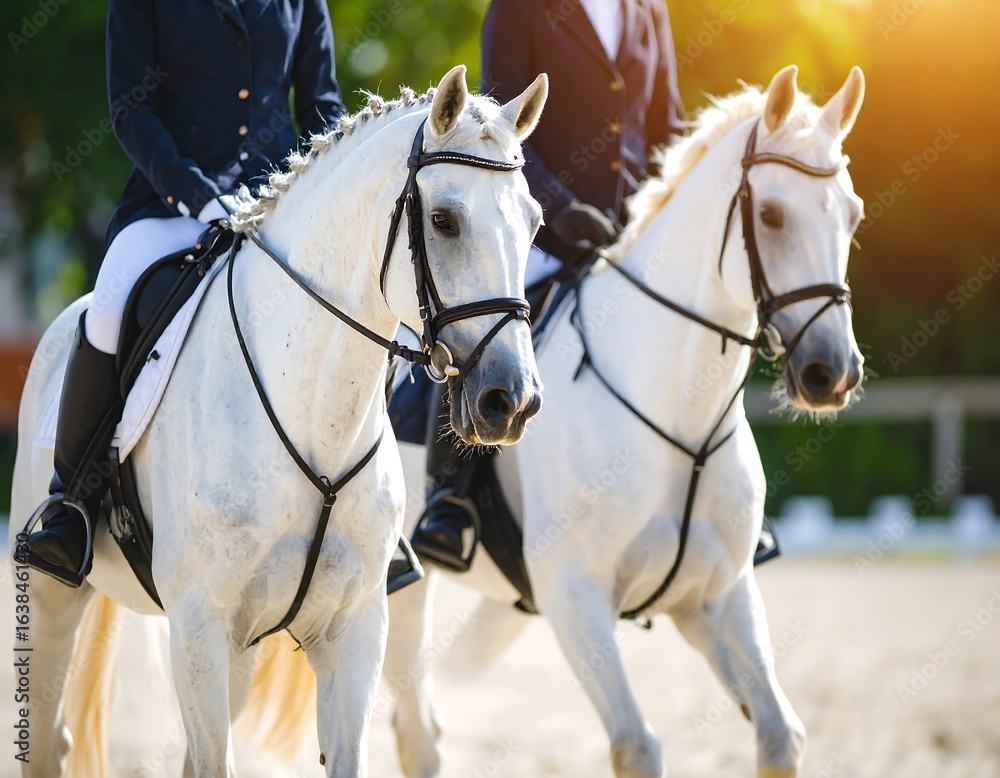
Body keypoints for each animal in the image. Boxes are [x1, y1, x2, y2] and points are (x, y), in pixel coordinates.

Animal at [8, 65, 549, 777]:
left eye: (534, 223)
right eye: (444, 220)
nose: (510, 401)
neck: (316, 418)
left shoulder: (354, 629)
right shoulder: (200, 629)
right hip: (55, 599)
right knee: (47, 736)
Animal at [373, 64, 866, 778]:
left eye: (852, 217)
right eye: (771, 215)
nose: (834, 373)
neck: (680, 420)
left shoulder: (719, 597)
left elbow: (781, 733)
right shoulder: (575, 599)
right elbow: (637, 745)